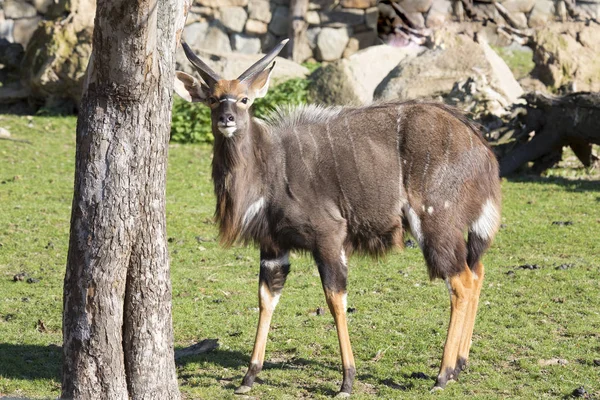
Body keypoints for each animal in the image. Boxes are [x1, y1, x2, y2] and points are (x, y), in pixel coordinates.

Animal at [175, 39, 502, 396]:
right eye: (213, 98)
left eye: (245, 98)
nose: (227, 118)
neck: (269, 167)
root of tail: (483, 150)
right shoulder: (273, 246)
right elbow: (266, 299)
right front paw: (249, 377)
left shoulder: (329, 237)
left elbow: (335, 299)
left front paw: (347, 381)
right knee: (477, 270)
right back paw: (460, 364)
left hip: (435, 223)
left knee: (461, 281)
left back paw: (443, 374)